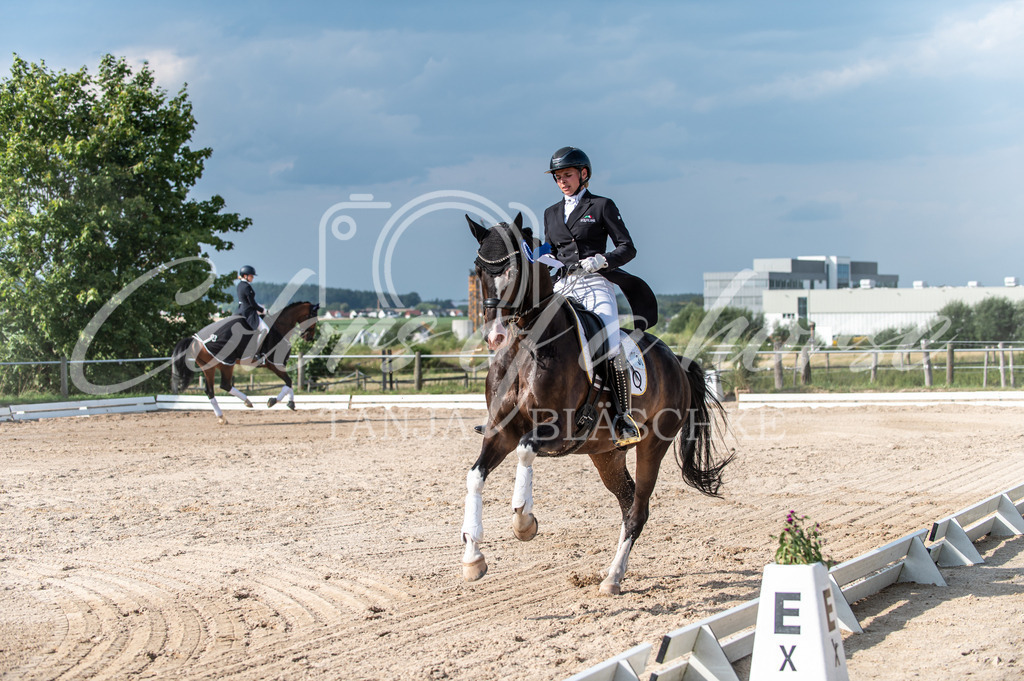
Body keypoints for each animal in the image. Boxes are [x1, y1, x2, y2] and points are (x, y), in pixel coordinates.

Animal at [169, 301, 319, 421]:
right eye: (314, 318)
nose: (310, 337)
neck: (279, 327)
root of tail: (195, 340)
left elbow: (289, 383)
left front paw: (289, 403)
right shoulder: (274, 365)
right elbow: (289, 382)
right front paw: (274, 401)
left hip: (209, 367)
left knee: (211, 390)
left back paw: (223, 417)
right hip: (226, 364)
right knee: (225, 385)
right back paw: (246, 402)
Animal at [460, 214, 733, 593]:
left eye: (518, 270)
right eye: (477, 268)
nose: (496, 335)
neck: (527, 347)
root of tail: (676, 361)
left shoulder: (558, 430)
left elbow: (526, 451)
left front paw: (524, 522)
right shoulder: (501, 430)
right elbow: (475, 476)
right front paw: (472, 558)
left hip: (652, 446)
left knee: (638, 509)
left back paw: (613, 579)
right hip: (606, 454)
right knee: (628, 500)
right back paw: (614, 571)